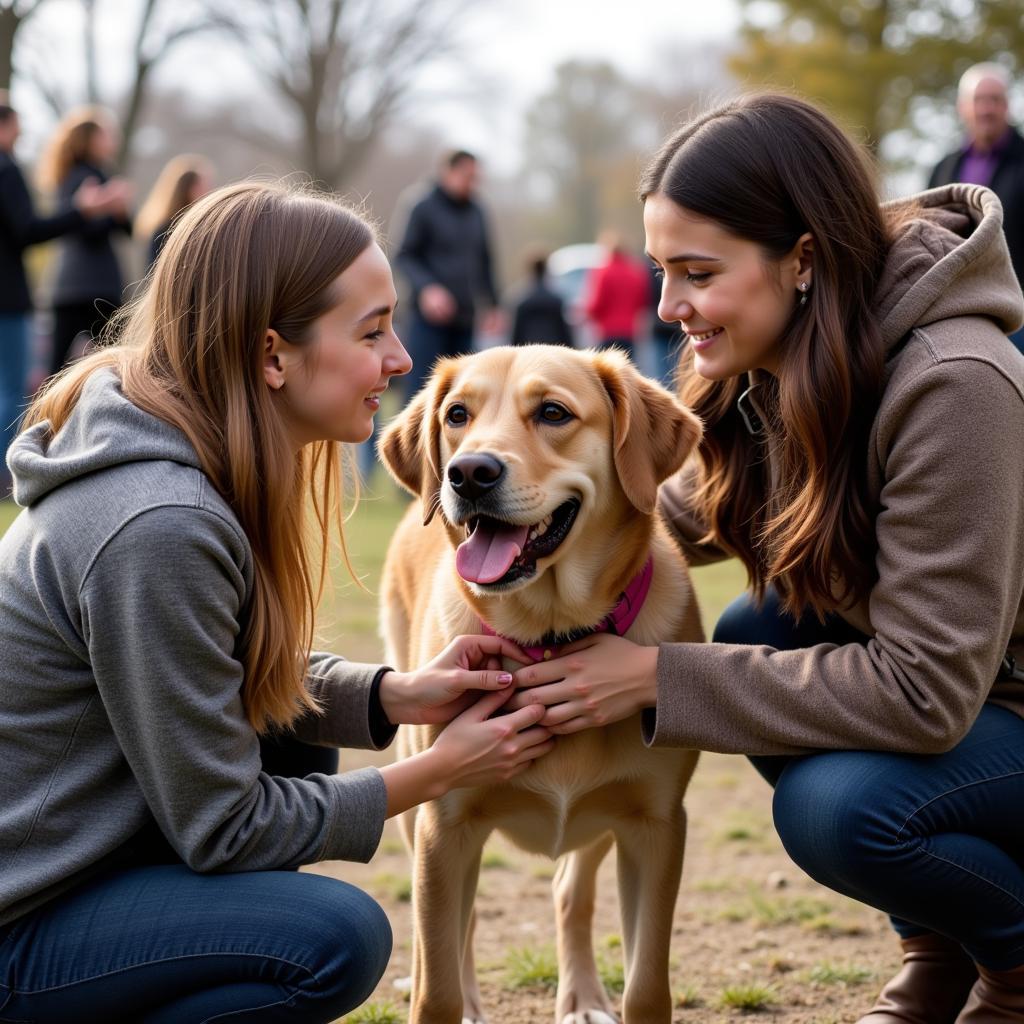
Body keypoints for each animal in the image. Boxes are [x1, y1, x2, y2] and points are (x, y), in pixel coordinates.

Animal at [380, 346, 708, 1024]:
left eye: (553, 413)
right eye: (457, 415)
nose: (468, 473)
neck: (548, 634)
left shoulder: (657, 825)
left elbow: (647, 988)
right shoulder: (443, 826)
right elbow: (436, 986)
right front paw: (453, 1000)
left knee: (569, 893)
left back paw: (581, 997)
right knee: (462, 929)